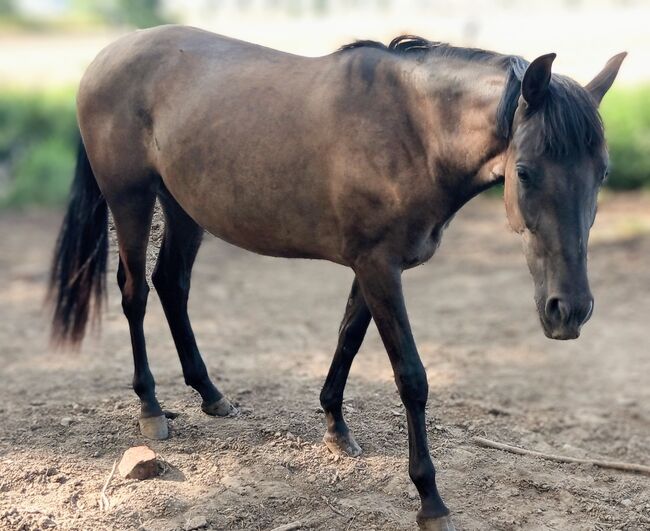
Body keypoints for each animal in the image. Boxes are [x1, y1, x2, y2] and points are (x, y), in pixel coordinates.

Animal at [46, 26, 624, 531]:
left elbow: (348, 337)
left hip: (184, 208)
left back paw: (210, 394)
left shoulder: (371, 266)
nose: (568, 311)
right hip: (131, 199)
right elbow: (411, 377)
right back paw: (150, 408)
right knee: (135, 293)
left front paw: (335, 429)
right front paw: (430, 501)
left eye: (602, 173)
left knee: (172, 286)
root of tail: (108, 55)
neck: (414, 130)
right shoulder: (379, 268)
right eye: (524, 171)